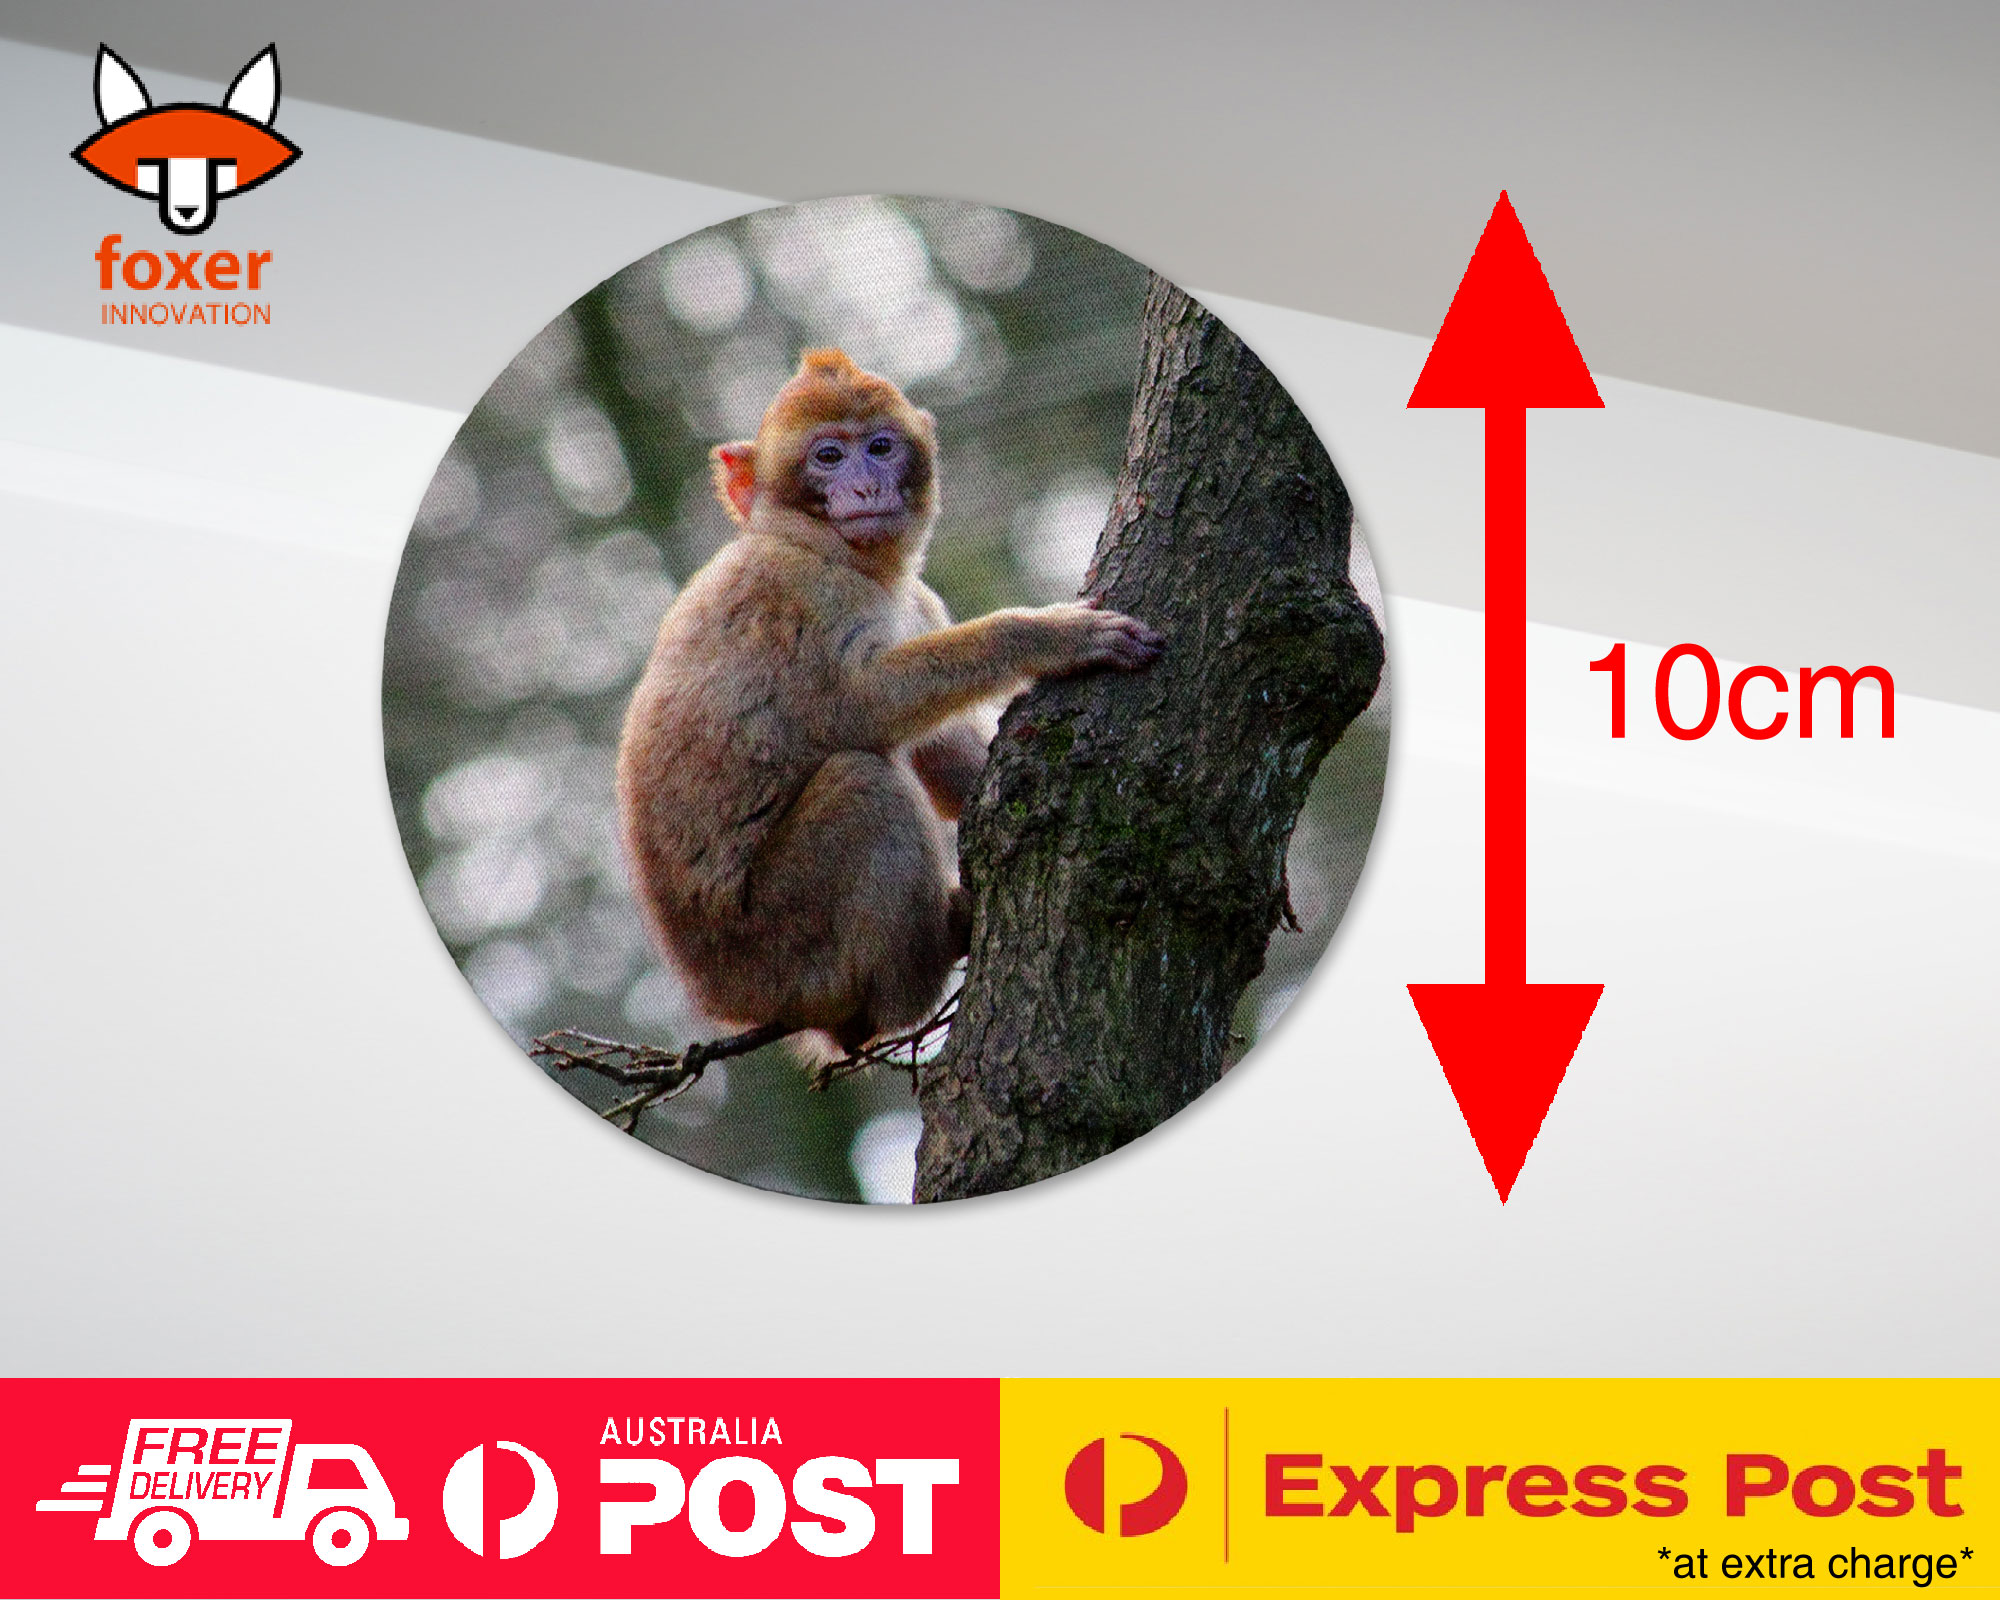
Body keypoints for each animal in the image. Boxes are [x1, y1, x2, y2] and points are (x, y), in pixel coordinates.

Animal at [616, 348, 1161, 1065]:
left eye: (880, 447)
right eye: (828, 456)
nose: (867, 487)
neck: (840, 558)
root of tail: (726, 1000)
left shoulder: (920, 601)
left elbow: (946, 760)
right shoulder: (796, 593)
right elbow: (857, 710)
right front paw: (1046, 635)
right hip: (782, 946)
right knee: (863, 781)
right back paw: (929, 960)